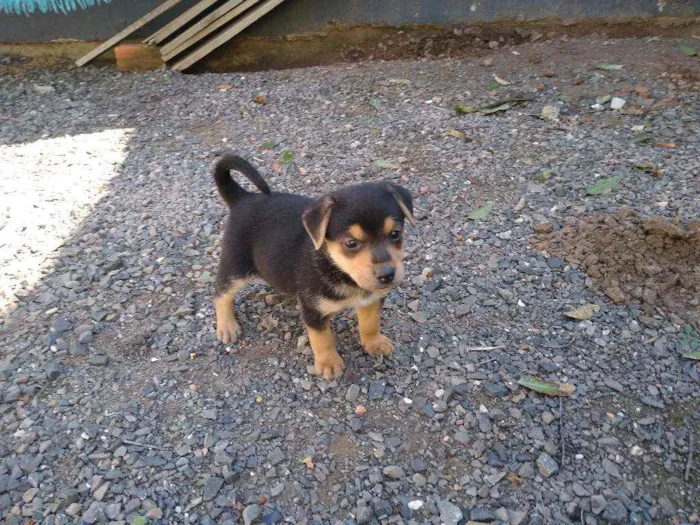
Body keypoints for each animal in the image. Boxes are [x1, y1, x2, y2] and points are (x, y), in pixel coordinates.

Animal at [213, 154, 416, 378]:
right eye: (351, 243)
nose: (387, 275)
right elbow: (323, 339)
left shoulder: (371, 299)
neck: (340, 270)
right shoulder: (313, 310)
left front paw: (375, 343)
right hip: (236, 266)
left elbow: (370, 323)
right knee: (221, 294)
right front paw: (329, 364)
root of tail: (244, 198)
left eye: (395, 234)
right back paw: (227, 327)